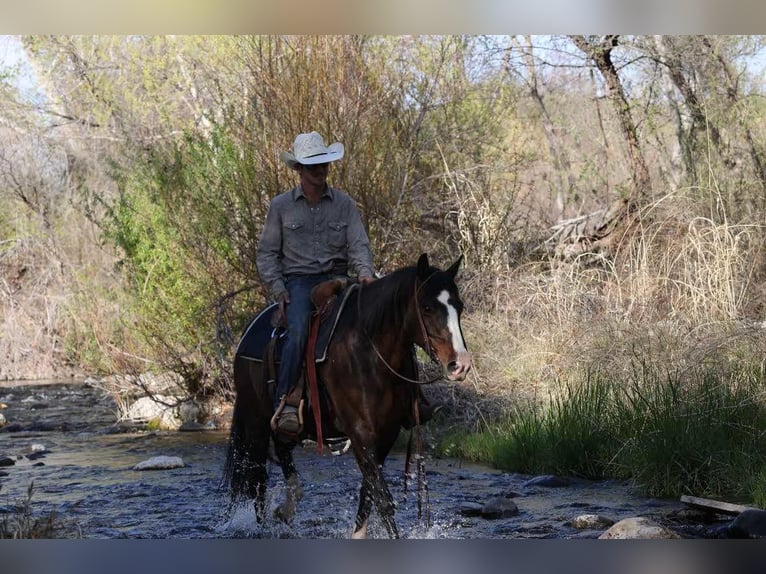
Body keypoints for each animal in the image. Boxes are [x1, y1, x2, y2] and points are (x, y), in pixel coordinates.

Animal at [223, 253, 472, 538]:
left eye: (459, 306)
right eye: (428, 307)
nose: (460, 365)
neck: (369, 350)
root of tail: (246, 334)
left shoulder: (386, 434)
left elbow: (369, 493)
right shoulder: (360, 433)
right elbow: (384, 500)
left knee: (282, 451)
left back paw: (286, 509)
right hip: (255, 423)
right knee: (257, 478)